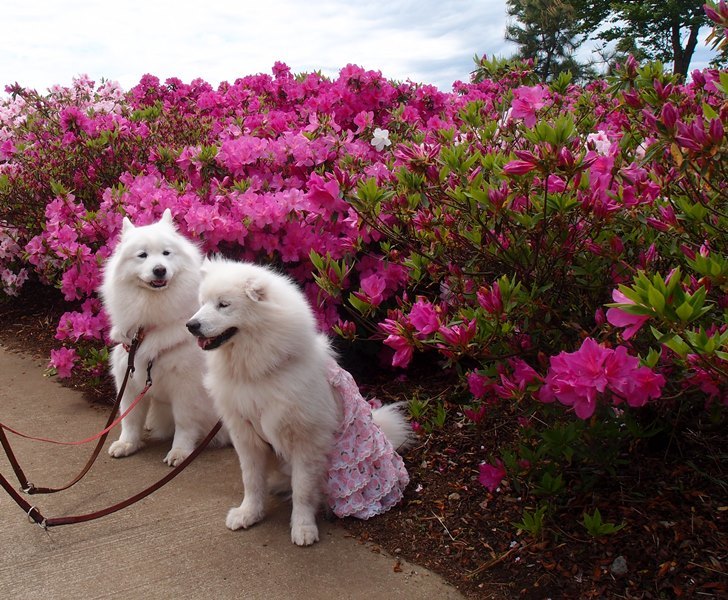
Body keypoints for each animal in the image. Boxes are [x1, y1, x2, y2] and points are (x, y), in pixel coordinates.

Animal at [98, 209, 226, 466]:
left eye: (167, 253)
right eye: (142, 255)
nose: (159, 269)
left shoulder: (186, 387)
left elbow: (184, 424)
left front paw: (180, 452)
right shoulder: (129, 379)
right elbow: (130, 419)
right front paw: (128, 444)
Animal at [185, 255, 412, 548]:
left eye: (223, 304)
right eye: (202, 303)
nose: (191, 325)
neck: (258, 373)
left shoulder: (306, 440)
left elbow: (303, 489)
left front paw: (303, 528)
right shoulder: (246, 435)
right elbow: (251, 481)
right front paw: (249, 513)